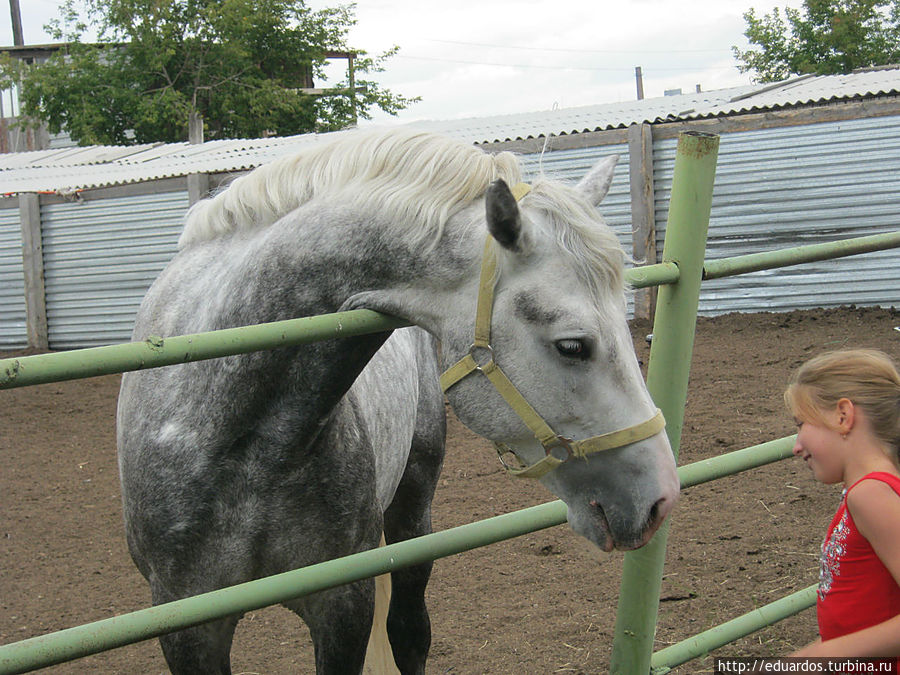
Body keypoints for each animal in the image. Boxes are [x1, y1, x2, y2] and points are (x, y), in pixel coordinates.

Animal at [121, 128, 684, 675]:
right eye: (572, 345)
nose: (661, 499)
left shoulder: (342, 604)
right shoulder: (188, 625)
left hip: (414, 514)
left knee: (410, 633)